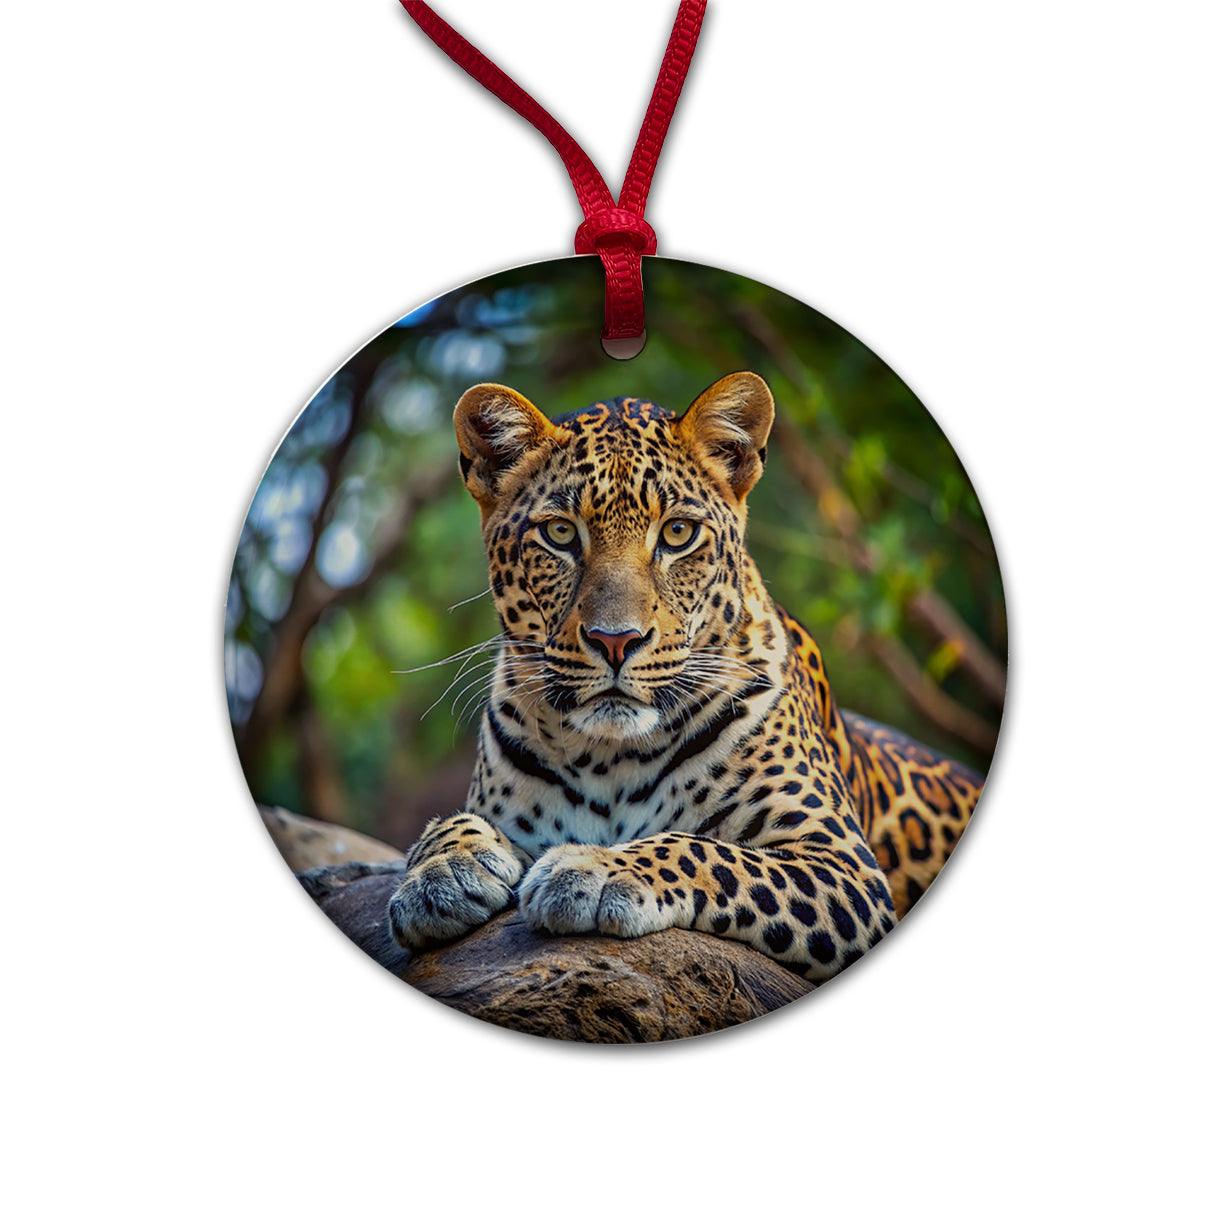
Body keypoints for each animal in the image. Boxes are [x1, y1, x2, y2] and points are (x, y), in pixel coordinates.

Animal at [387, 371, 986, 983]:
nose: (615, 640)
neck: (607, 755)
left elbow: (707, 851)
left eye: (677, 533)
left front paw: (597, 868)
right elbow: (446, 823)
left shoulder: (842, 865)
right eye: (558, 533)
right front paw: (441, 873)